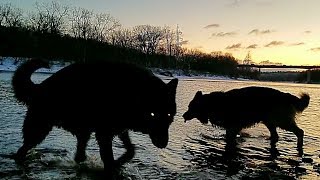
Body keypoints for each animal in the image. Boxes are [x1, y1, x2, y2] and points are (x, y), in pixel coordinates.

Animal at [11, 59, 178, 176]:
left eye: (169, 115)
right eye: (152, 114)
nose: (163, 144)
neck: (129, 93)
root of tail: (38, 87)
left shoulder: (119, 130)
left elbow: (131, 151)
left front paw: (119, 162)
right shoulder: (104, 134)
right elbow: (109, 160)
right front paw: (114, 167)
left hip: (83, 132)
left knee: (79, 155)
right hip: (38, 131)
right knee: (21, 151)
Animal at [182, 86, 310, 151]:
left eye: (190, 107)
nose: (183, 115)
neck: (211, 104)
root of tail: (286, 95)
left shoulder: (232, 127)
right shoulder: (232, 128)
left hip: (282, 121)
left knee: (300, 132)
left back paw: (299, 145)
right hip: (270, 122)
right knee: (275, 136)